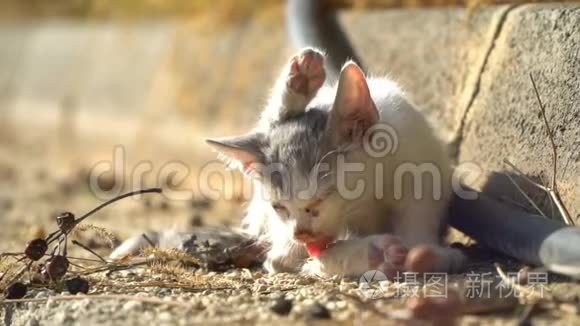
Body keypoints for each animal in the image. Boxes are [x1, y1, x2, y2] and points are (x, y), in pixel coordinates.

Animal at [208, 48, 466, 278]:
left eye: (321, 199)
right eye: (279, 207)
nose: (301, 233)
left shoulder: (420, 167)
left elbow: (417, 219)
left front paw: (428, 255)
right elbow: (291, 259)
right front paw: (373, 255)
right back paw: (298, 84)